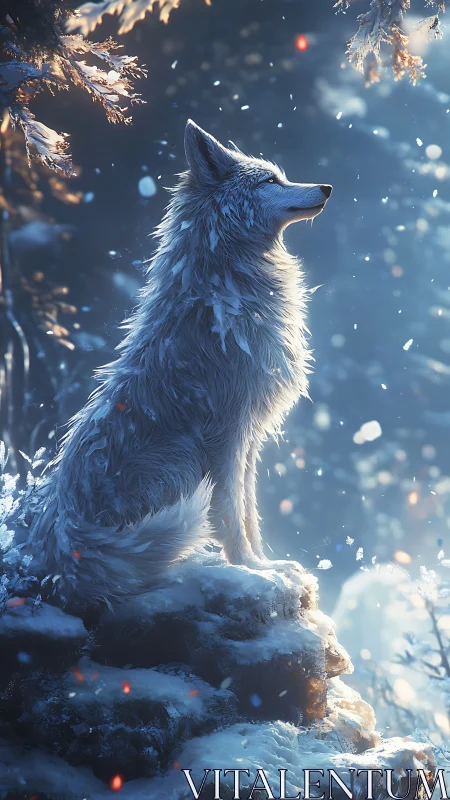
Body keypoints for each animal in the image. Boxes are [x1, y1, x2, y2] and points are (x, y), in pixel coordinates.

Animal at [20, 120, 332, 606]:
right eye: (270, 180)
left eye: (281, 176)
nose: (327, 187)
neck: (228, 288)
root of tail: (60, 551)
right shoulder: (227, 431)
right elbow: (231, 512)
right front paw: (253, 569)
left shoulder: (248, 437)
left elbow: (249, 509)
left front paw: (266, 564)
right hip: (181, 457)